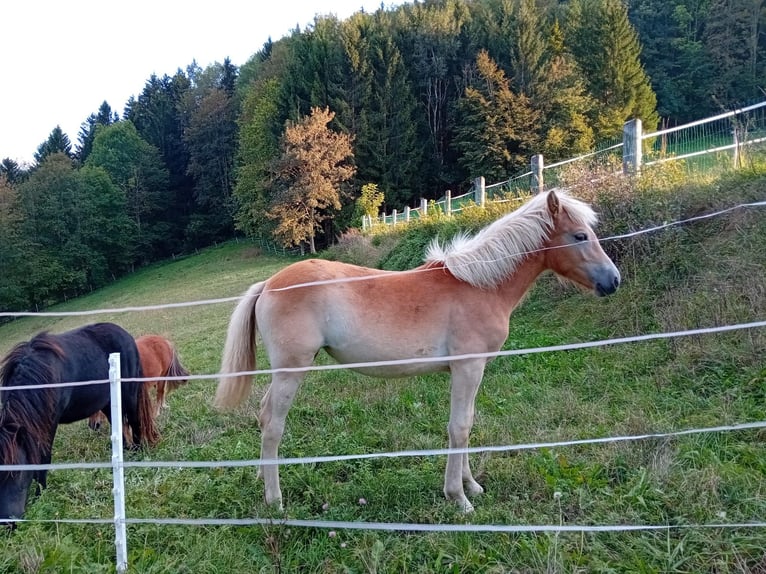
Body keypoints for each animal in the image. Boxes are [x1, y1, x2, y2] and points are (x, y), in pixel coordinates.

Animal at [0, 324, 159, 528]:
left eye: (17, 472)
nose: (7, 524)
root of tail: (125, 334)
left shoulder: (49, 422)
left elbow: (44, 457)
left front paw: (40, 494)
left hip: (129, 393)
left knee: (135, 420)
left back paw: (138, 453)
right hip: (107, 402)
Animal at [213, 191, 620, 516]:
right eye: (580, 235)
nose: (613, 281)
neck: (478, 285)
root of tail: (269, 284)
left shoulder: (468, 372)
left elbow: (466, 424)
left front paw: (472, 486)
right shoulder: (468, 367)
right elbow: (459, 427)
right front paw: (459, 498)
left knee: (264, 418)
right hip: (291, 371)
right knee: (272, 424)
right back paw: (275, 500)